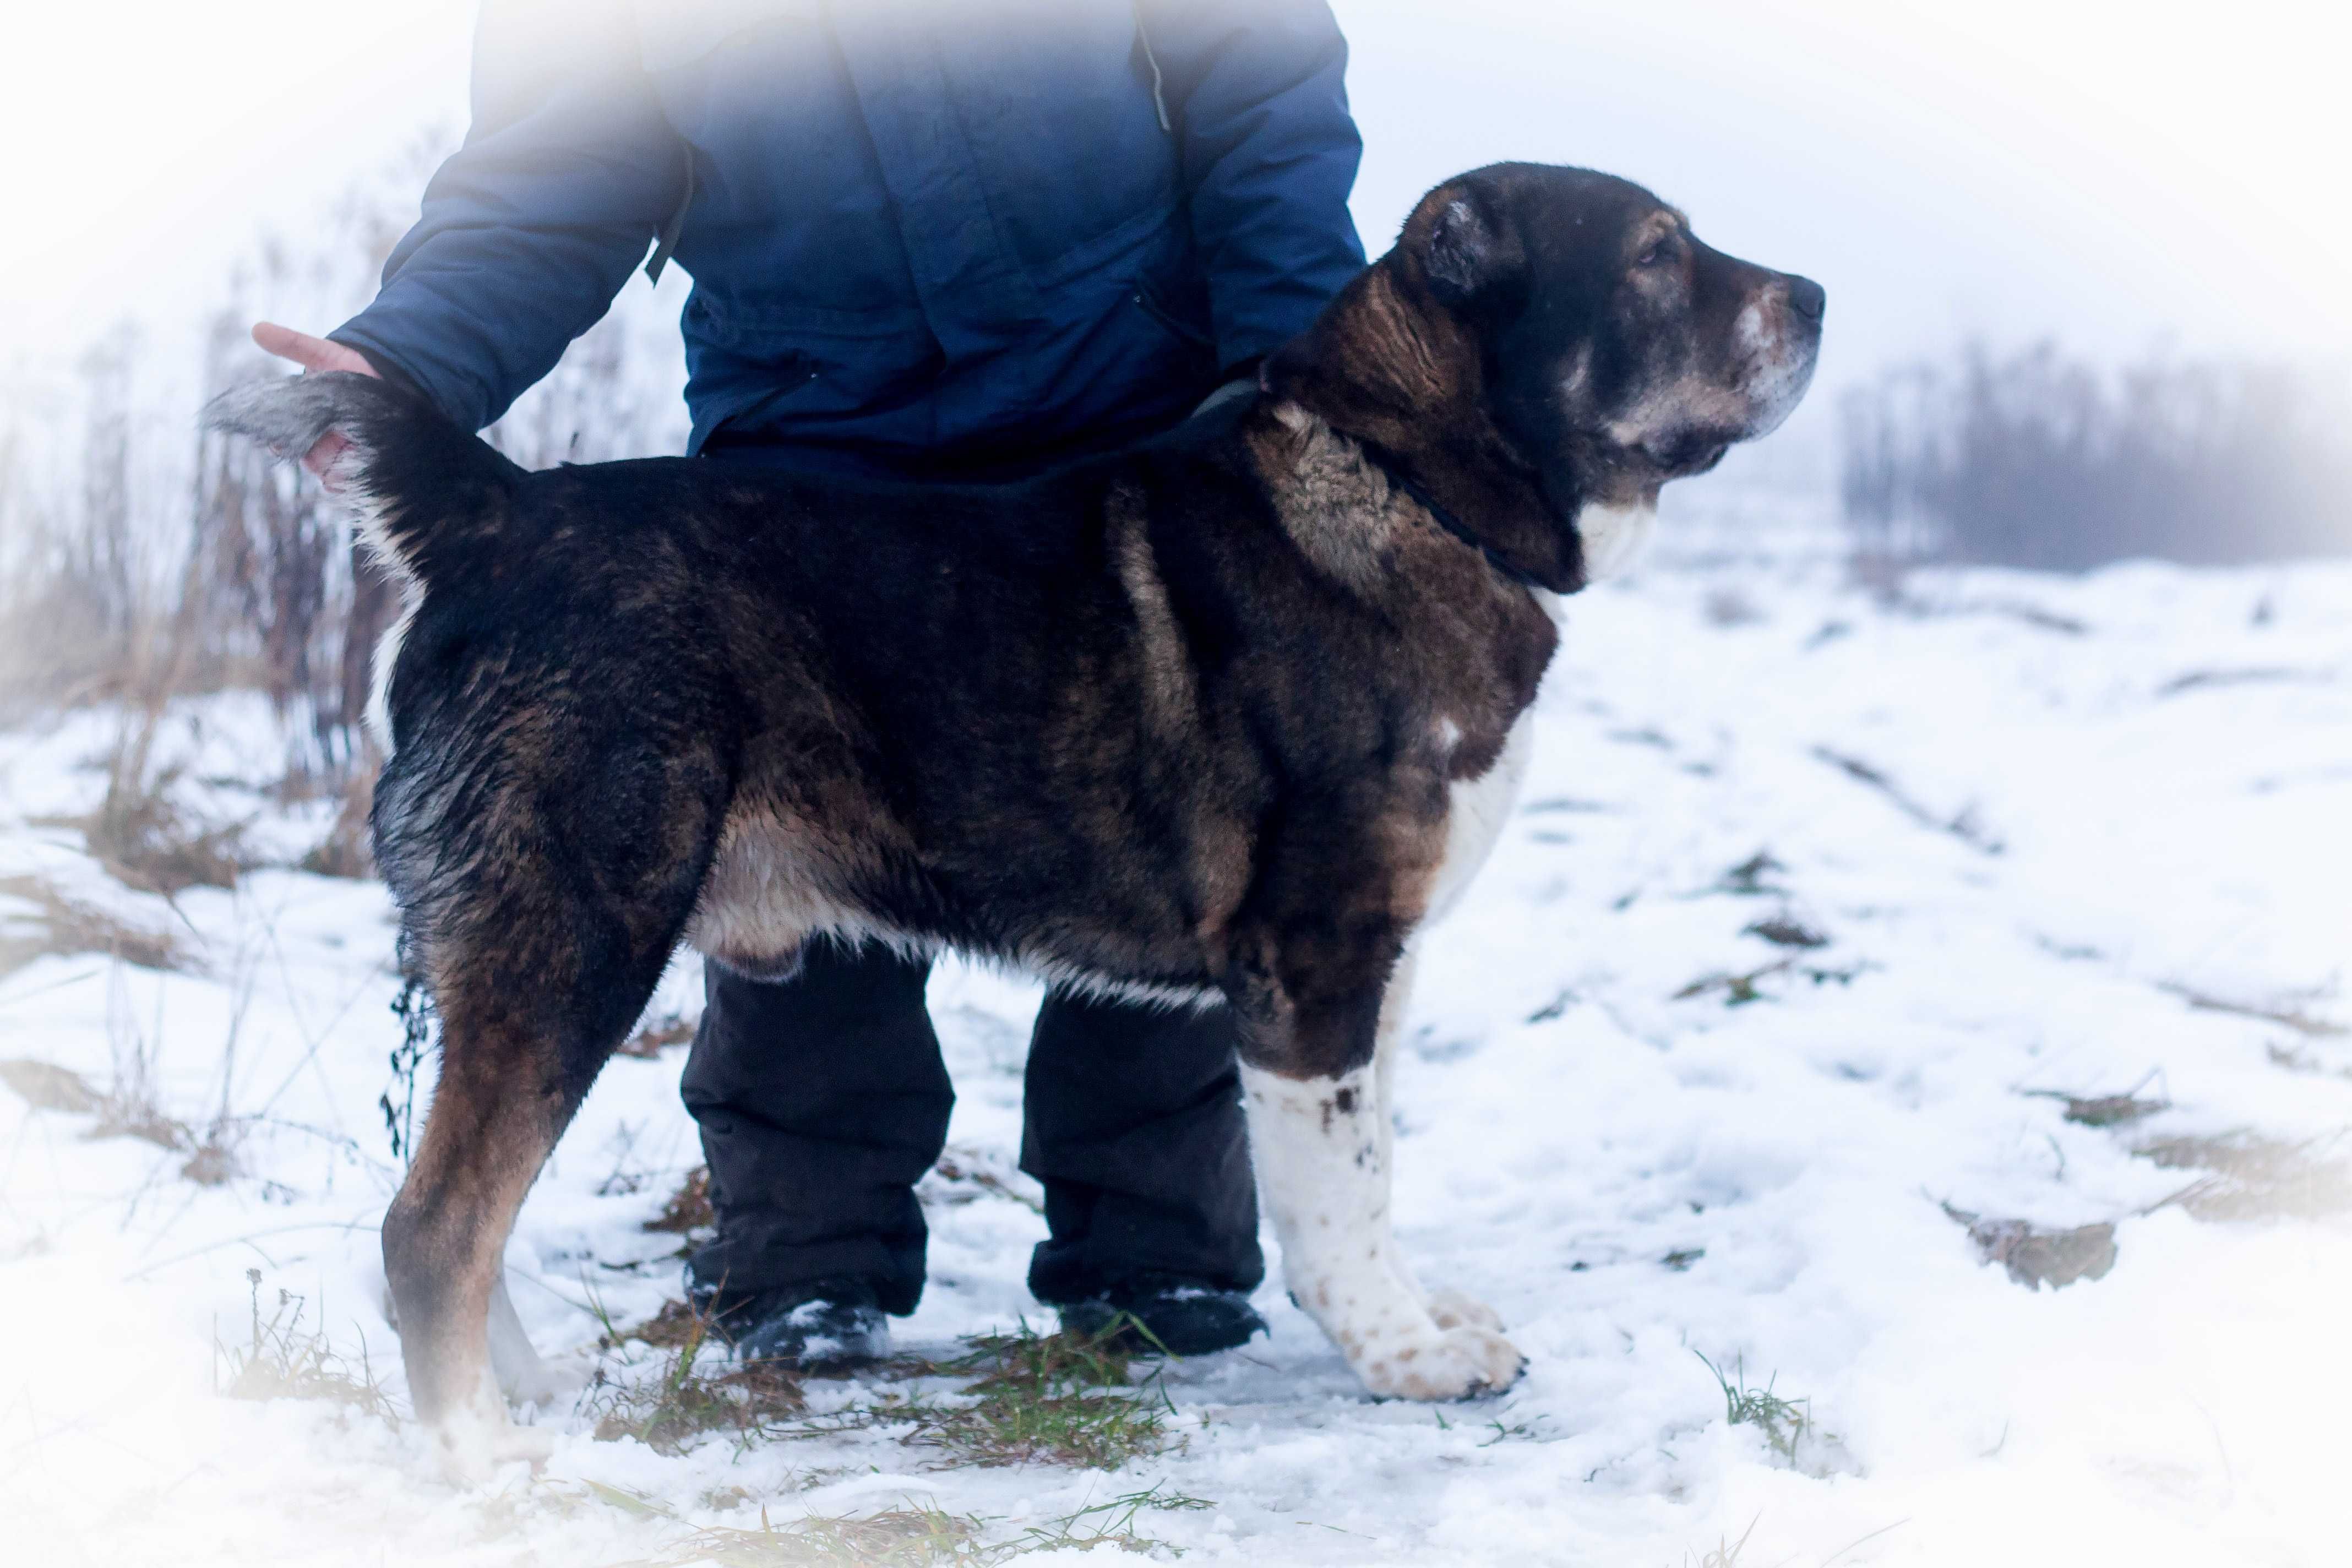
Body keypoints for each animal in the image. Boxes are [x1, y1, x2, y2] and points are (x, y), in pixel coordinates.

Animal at [206, 162, 1815, 1476]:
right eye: (1656, 254)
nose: (1812, 295)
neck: (1408, 483)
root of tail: (497, 519)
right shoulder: (1315, 966)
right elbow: (1341, 1194)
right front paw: (1408, 1356)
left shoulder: (1373, 963)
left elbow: (1370, 1170)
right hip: (572, 934)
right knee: (435, 1224)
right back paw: (479, 1457)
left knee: (451, 1206)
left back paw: (515, 1400)